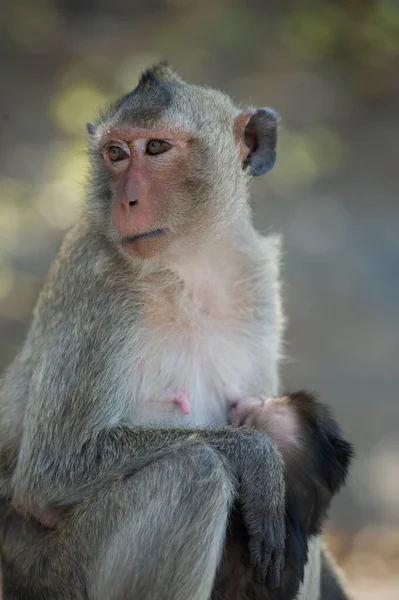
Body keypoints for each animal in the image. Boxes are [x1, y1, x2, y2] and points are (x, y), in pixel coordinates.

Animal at [0, 62, 352, 600]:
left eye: (157, 148)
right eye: (116, 153)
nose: (127, 200)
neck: (188, 268)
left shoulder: (256, 281)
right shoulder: (97, 284)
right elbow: (52, 470)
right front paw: (257, 457)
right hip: (51, 575)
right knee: (194, 474)